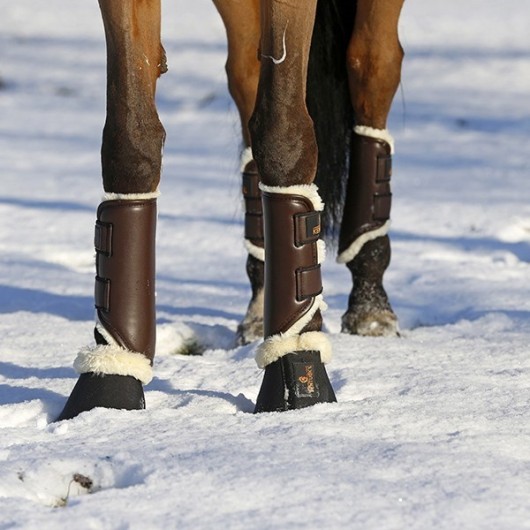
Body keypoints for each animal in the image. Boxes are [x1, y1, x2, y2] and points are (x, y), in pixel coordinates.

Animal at [57, 0, 402, 420]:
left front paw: (297, 365)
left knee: (373, 65)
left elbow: (284, 133)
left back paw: (370, 298)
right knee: (247, 76)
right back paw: (261, 303)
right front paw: (110, 381)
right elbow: (130, 140)